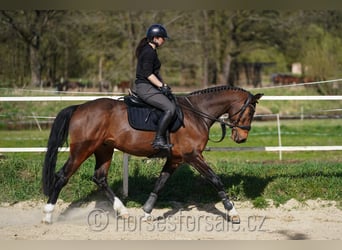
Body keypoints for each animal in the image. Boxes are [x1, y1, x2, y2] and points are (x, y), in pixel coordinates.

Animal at [41, 86, 264, 225]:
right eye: (250, 111)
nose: (241, 137)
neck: (197, 113)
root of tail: (79, 107)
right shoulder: (193, 156)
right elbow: (215, 180)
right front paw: (233, 212)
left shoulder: (175, 159)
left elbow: (159, 184)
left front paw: (146, 212)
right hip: (82, 149)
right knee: (62, 176)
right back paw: (47, 215)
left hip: (104, 149)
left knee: (100, 178)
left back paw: (123, 212)